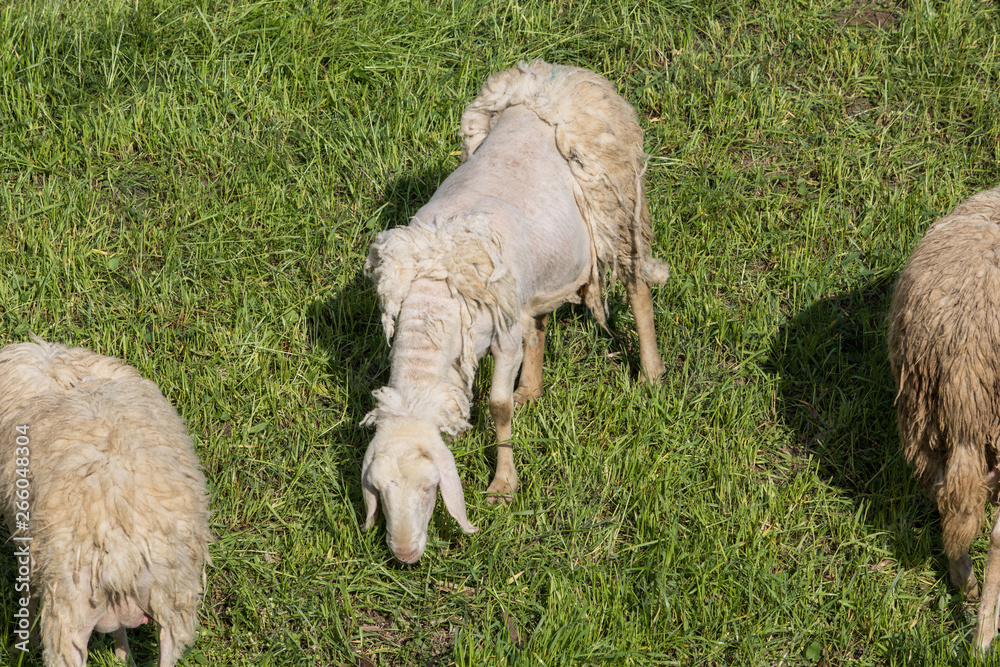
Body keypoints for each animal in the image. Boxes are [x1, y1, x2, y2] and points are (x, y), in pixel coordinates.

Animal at [361, 59, 670, 563]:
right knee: (539, 321)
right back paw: (533, 387)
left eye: (430, 490)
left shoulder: (502, 339)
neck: (434, 295)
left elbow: (498, 407)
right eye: (380, 492)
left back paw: (650, 373)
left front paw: (503, 486)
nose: (405, 555)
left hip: (617, 203)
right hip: (537, 270)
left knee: (636, 286)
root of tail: (558, 73)